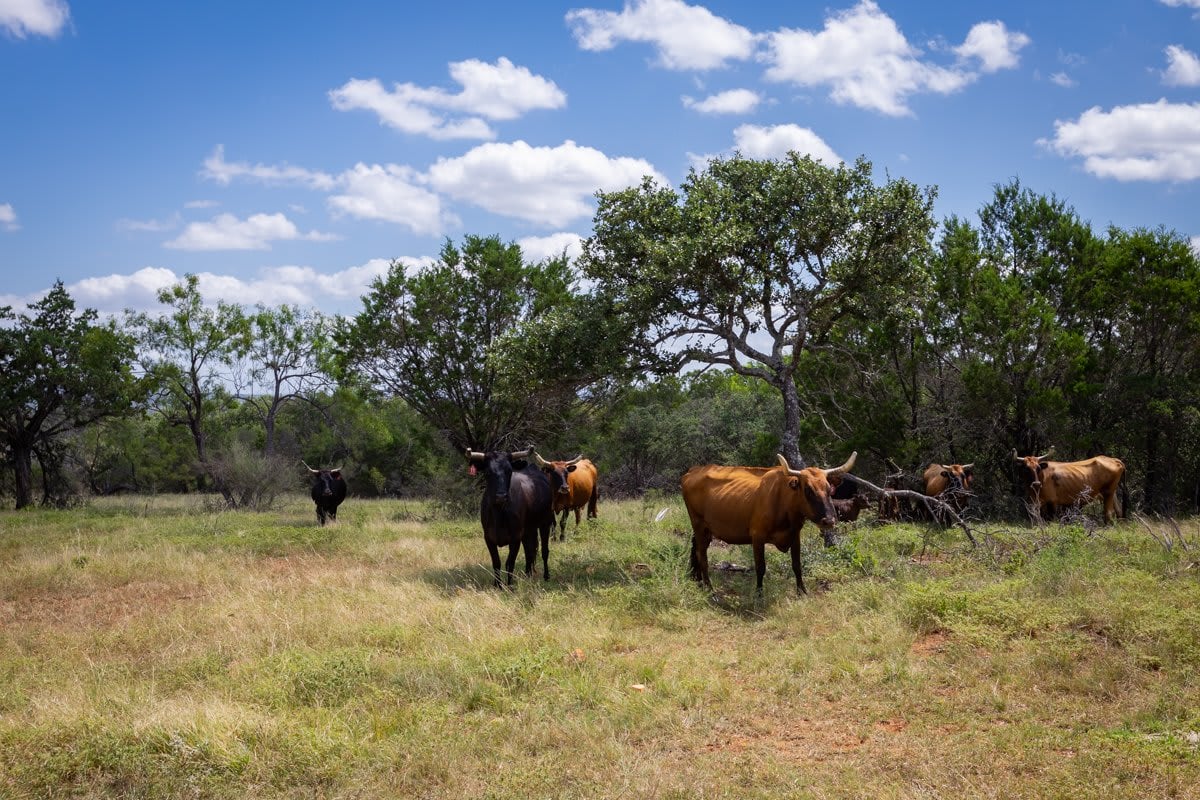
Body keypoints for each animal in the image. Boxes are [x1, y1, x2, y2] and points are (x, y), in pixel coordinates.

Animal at [465, 443, 554, 587]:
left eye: (510, 471)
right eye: (487, 472)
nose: (501, 496)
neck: (499, 513)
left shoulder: (515, 537)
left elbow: (509, 563)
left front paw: (510, 585)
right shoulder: (488, 538)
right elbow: (496, 562)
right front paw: (497, 585)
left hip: (545, 523)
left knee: (544, 551)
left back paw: (546, 576)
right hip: (528, 530)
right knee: (529, 552)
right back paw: (528, 575)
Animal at [681, 450, 859, 594]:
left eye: (829, 490)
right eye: (808, 490)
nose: (829, 520)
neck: (784, 504)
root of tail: (693, 470)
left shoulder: (795, 536)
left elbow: (797, 565)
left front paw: (802, 591)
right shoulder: (757, 537)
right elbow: (760, 568)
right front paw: (759, 594)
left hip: (704, 529)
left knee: (695, 549)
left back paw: (697, 580)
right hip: (698, 524)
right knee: (702, 555)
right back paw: (710, 589)